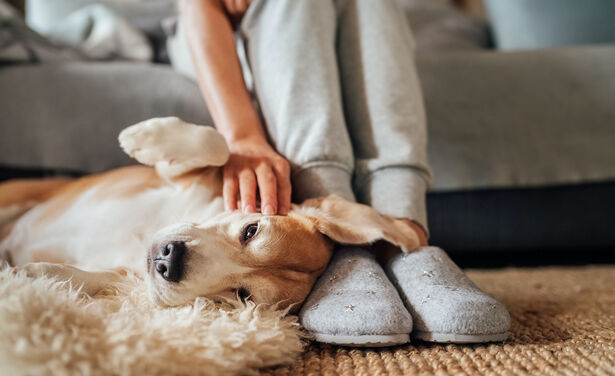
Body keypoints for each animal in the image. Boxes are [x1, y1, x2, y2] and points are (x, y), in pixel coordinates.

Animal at [0, 117, 418, 312]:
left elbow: (93, 278)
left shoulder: (126, 275)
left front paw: (33, 276)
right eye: (251, 230)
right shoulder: (183, 177)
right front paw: (143, 138)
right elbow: (216, 145)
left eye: (242, 295)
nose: (169, 260)